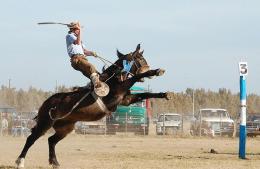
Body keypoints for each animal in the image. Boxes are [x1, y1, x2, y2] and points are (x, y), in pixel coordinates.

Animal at [15, 44, 171, 168]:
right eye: (140, 58)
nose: (149, 69)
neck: (112, 79)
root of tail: (46, 103)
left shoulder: (125, 100)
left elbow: (145, 94)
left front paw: (164, 94)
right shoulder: (114, 97)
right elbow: (135, 77)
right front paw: (157, 71)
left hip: (65, 127)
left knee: (51, 140)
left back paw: (55, 163)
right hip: (45, 123)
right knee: (31, 139)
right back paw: (20, 161)